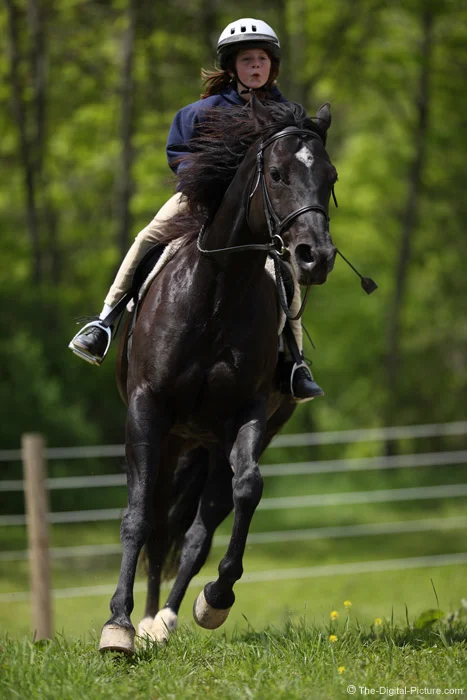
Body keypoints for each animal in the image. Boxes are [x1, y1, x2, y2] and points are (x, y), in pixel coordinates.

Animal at [100, 95, 338, 652]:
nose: (315, 257)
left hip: (214, 443)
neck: (215, 295)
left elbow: (246, 490)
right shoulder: (146, 411)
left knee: (195, 529)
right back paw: (145, 621)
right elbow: (137, 515)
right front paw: (117, 626)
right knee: (159, 526)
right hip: (174, 441)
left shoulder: (246, 415)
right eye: (276, 174)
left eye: (331, 177)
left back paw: (164, 620)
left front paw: (217, 597)